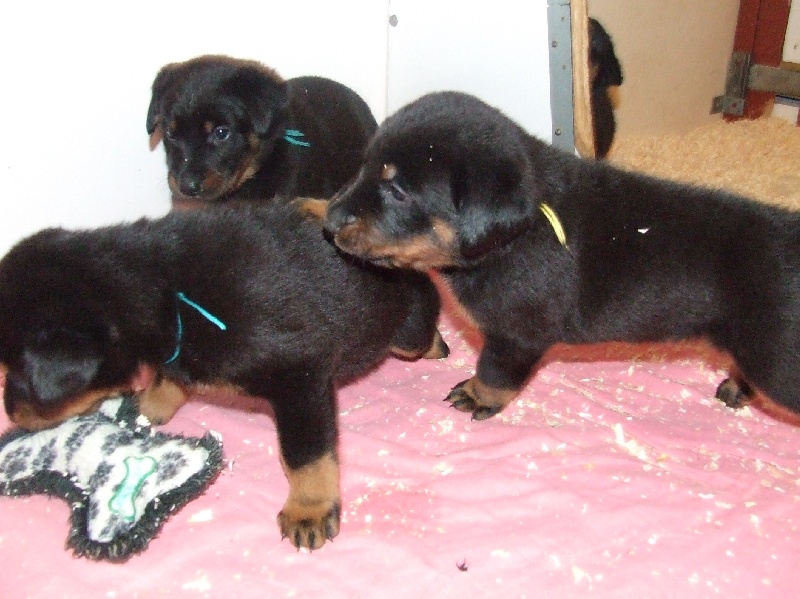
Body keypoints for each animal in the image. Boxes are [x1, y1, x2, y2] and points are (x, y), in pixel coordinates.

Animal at [0, 203, 446, 548]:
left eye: (19, 372)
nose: (11, 412)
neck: (165, 291)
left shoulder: (300, 377)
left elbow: (306, 454)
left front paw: (309, 510)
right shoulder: (181, 350)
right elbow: (169, 378)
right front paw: (148, 405)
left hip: (401, 330)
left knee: (422, 317)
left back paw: (437, 342)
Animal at [322, 91, 800, 424]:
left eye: (399, 192)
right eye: (364, 167)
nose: (328, 221)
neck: (514, 238)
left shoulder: (516, 335)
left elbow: (494, 372)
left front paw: (477, 396)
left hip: (777, 358)